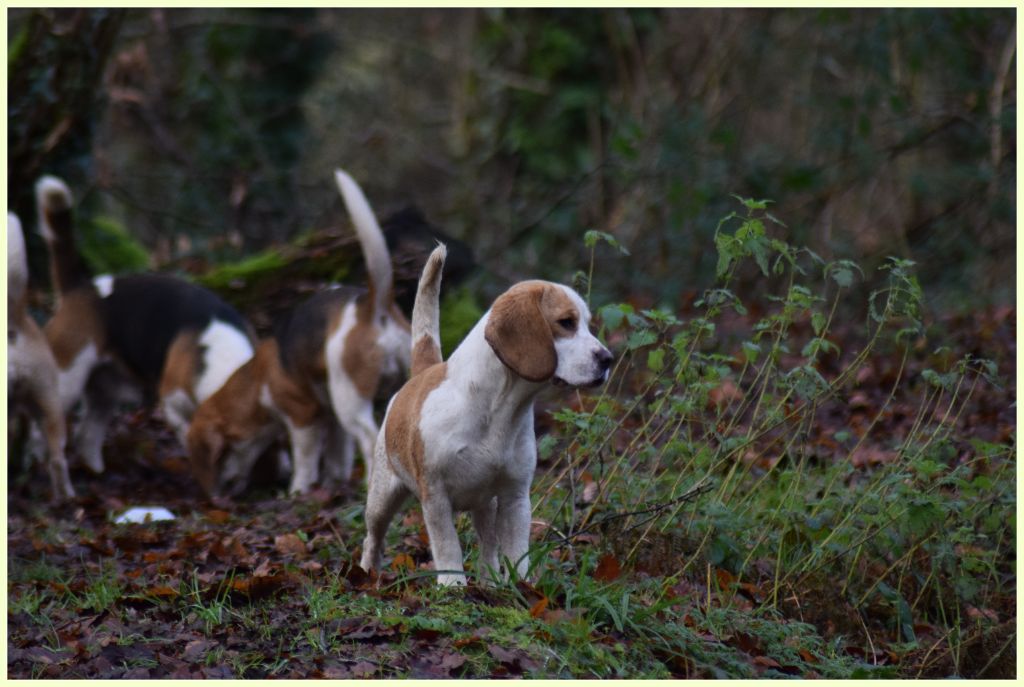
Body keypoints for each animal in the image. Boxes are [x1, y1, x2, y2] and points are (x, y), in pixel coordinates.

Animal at [37, 176, 258, 473]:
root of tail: (82, 287)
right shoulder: (173, 406)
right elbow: (189, 434)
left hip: (104, 389)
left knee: (87, 436)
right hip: (65, 379)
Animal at [186, 168, 409, 497]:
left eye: (220, 456)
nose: (220, 493)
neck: (257, 380)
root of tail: (372, 306)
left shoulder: (303, 417)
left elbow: (304, 460)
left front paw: (298, 490)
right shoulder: (331, 418)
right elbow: (337, 456)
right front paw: (332, 484)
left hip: (350, 400)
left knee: (369, 439)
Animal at [362, 247, 610, 585]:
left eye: (586, 323)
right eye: (566, 322)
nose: (608, 359)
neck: (501, 411)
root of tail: (424, 371)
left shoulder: (515, 497)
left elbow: (516, 551)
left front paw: (521, 586)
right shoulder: (436, 496)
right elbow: (448, 546)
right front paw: (452, 585)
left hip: (486, 506)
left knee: (488, 546)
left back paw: (490, 580)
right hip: (381, 499)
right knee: (372, 538)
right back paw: (365, 572)